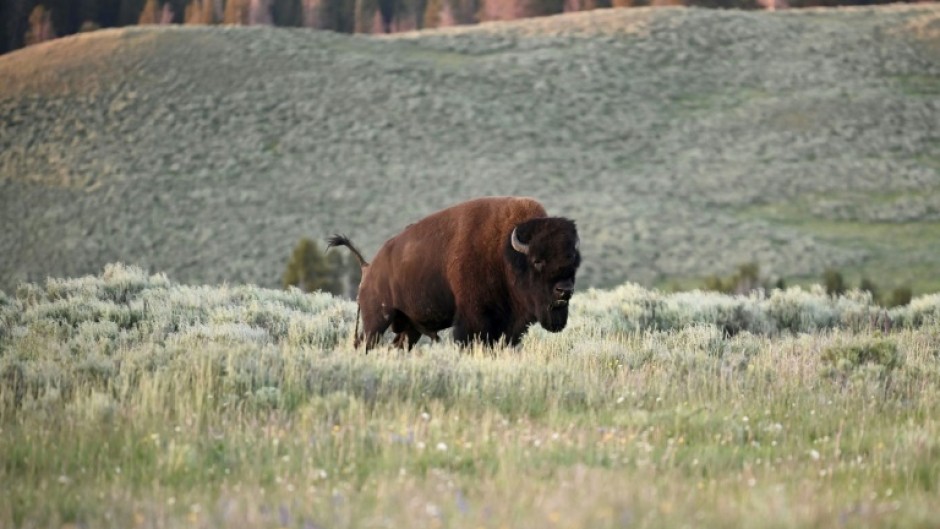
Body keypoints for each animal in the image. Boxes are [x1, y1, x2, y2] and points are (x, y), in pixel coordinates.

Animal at [327, 196, 580, 350]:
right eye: (538, 261)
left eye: (574, 261)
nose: (564, 291)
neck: (504, 253)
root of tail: (369, 266)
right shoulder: (473, 321)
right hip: (377, 320)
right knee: (367, 343)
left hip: (409, 327)